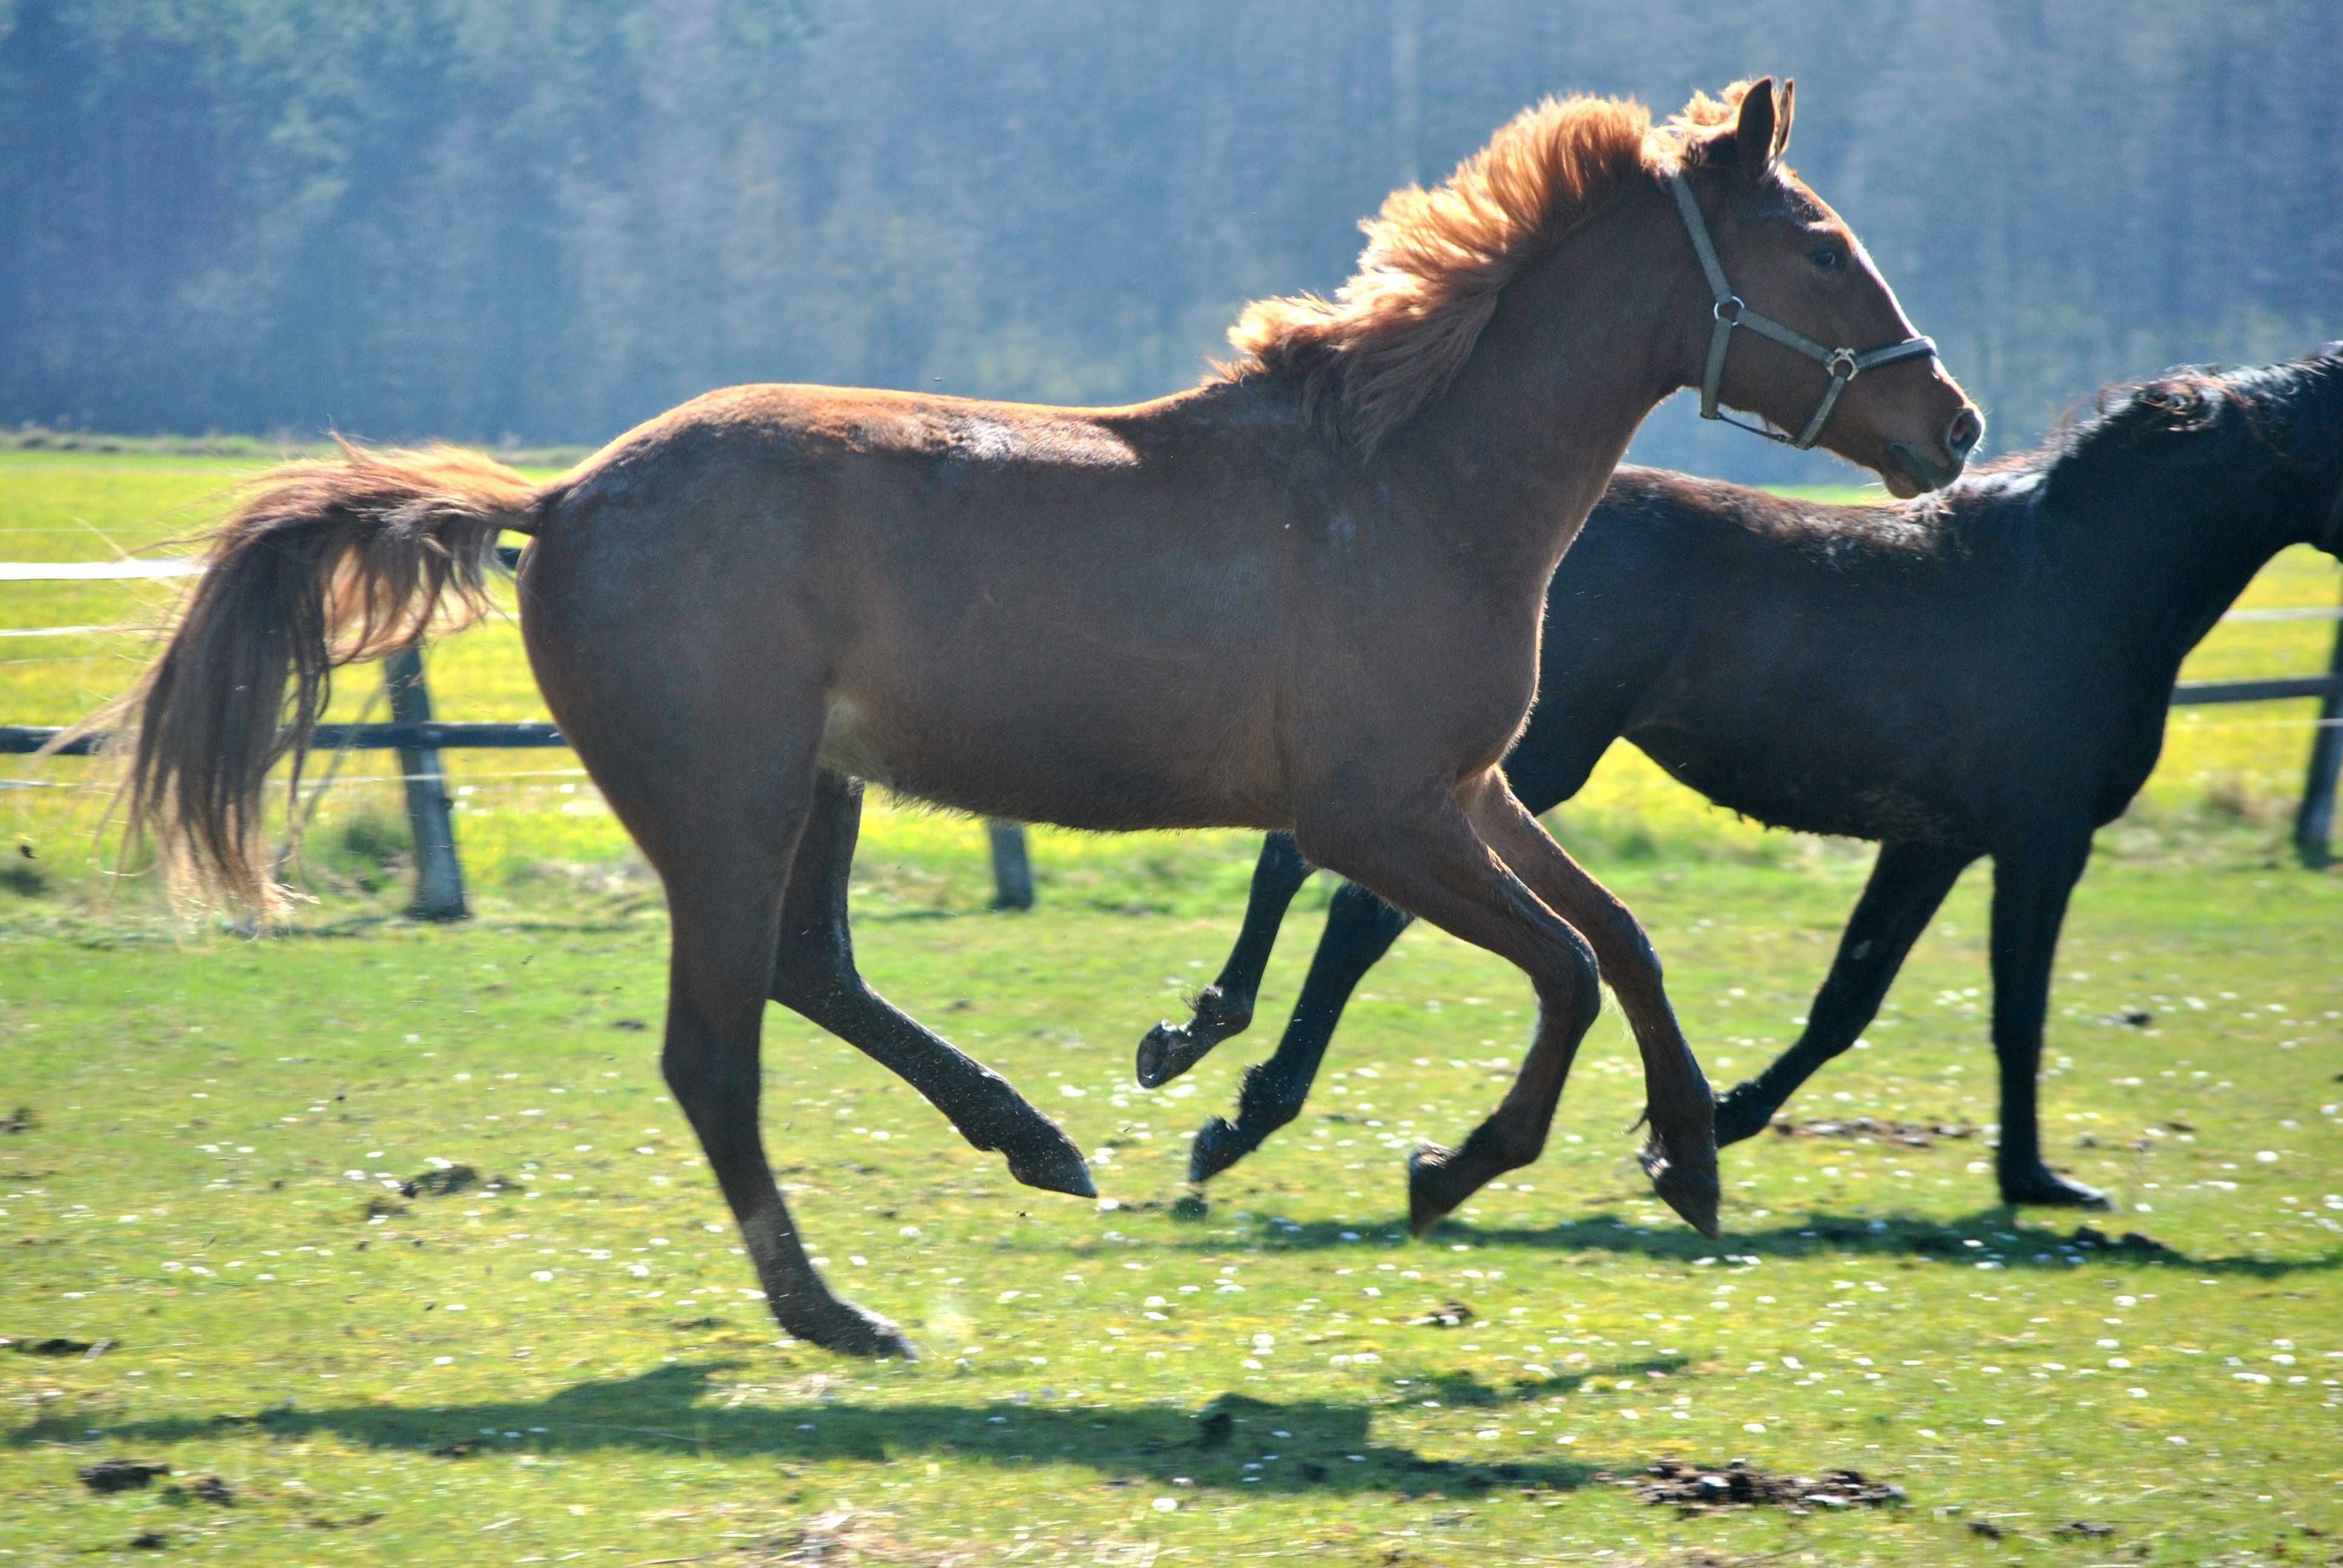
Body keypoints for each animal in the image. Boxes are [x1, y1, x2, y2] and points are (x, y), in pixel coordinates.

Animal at [96, 85, 1977, 1350]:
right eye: (1821, 246)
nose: (1951, 426)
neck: (1408, 482)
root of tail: (556, 503)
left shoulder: (1463, 788)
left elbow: (1627, 940)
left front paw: (1690, 1157)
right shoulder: (1378, 816)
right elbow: (1569, 967)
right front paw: (1454, 1165)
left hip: (817, 791)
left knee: (812, 974)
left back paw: (1038, 1144)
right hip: (725, 801)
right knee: (718, 1050)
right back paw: (838, 1310)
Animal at [1148, 349, 2343, 1209]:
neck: (2076, 579)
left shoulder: (1936, 842)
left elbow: (1849, 999)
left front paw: (1706, 1124)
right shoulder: (2041, 843)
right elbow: (2016, 1012)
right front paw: (2038, 1182)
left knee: (1300, 865)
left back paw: (1207, 1055)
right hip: (1517, 764)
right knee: (1355, 909)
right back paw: (1248, 1113)